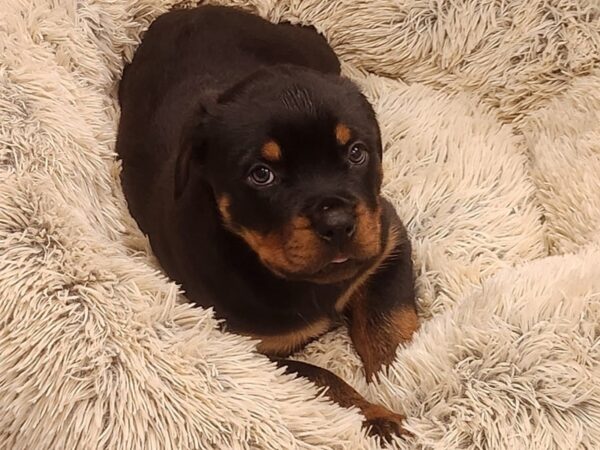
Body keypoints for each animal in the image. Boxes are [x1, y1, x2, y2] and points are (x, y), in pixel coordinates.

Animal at [116, 3, 418, 440]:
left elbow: (390, 325)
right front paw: (381, 419)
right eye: (262, 174)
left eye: (357, 152)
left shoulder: (386, 239)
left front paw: (408, 384)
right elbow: (326, 383)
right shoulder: (252, 351)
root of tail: (190, 10)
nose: (338, 223)